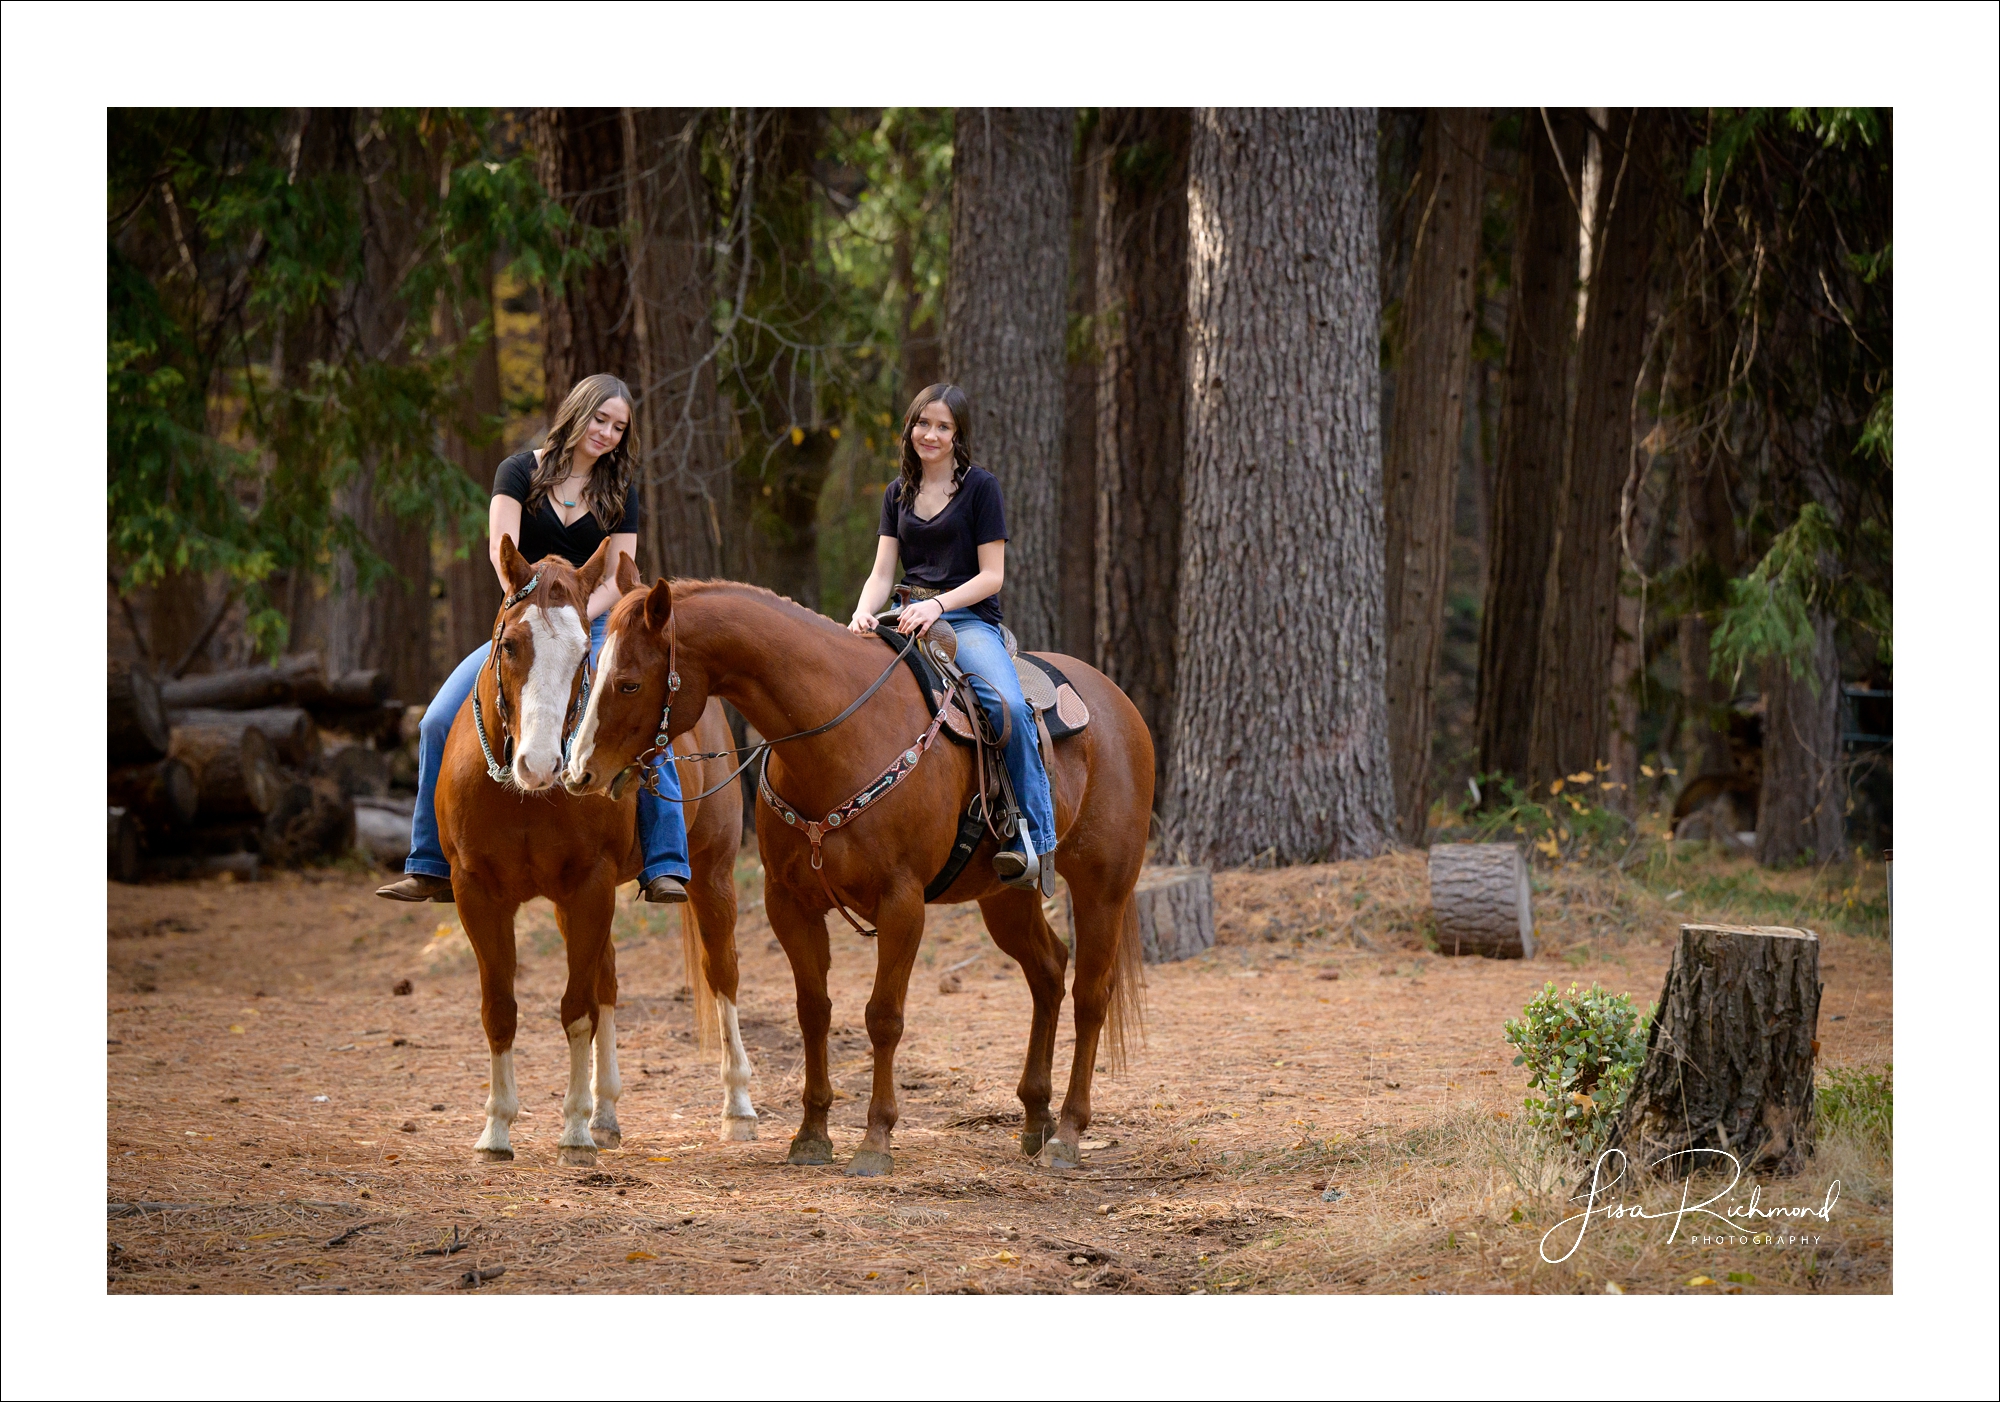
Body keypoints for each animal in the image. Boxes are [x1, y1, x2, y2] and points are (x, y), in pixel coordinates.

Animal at [434, 532, 752, 1168]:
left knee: (721, 974)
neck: (525, 797)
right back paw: (607, 1113)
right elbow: (500, 1008)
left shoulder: (590, 885)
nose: (541, 764)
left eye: (585, 652)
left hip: (713, 876)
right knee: (607, 981)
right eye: (510, 644)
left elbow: (575, 1007)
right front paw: (497, 1130)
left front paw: (574, 1131)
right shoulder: (477, 893)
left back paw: (737, 1108)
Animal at [564, 564, 1160, 1176]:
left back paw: (1067, 1132)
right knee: (1047, 971)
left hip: (1103, 888)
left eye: (629, 682)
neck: (836, 738)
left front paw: (875, 1139)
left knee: (1091, 994)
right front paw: (811, 1133)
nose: (578, 772)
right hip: (1006, 897)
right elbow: (814, 1011)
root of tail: (1118, 703)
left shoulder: (902, 904)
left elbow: (883, 1017)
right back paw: (1036, 1118)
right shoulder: (789, 905)